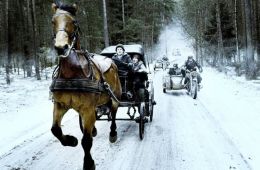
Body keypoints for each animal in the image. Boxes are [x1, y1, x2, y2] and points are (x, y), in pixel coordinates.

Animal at [50, 2, 121, 170]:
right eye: (53, 21)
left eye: (74, 22)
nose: (61, 47)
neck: (71, 74)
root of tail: (112, 61)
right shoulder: (60, 104)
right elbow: (55, 129)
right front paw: (71, 140)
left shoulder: (87, 109)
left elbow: (86, 141)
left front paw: (88, 163)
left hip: (115, 96)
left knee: (114, 112)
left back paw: (113, 133)